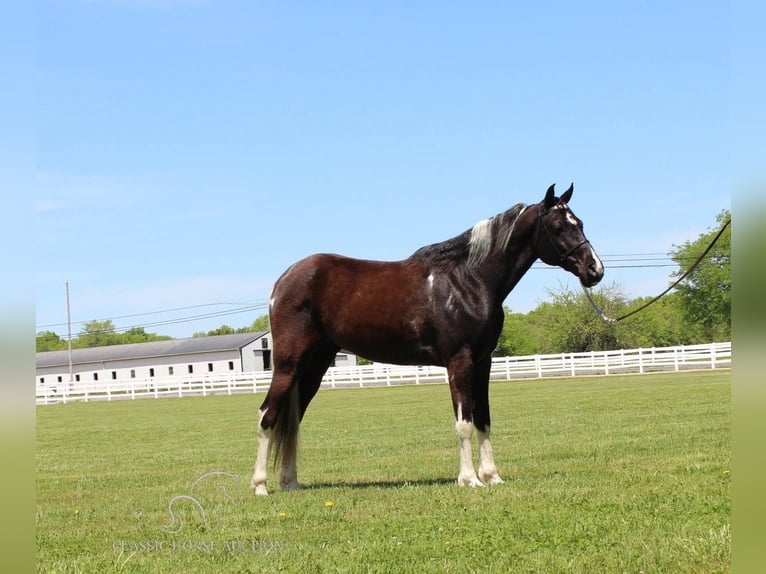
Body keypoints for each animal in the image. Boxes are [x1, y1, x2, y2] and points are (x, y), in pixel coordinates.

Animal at [252, 183, 608, 496]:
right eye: (559, 226)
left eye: (580, 223)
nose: (595, 270)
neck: (469, 280)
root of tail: (283, 280)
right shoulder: (459, 362)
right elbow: (464, 422)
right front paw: (469, 480)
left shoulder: (483, 363)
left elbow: (483, 419)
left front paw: (492, 476)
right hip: (288, 364)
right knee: (267, 415)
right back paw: (260, 486)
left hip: (315, 365)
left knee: (293, 419)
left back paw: (291, 482)